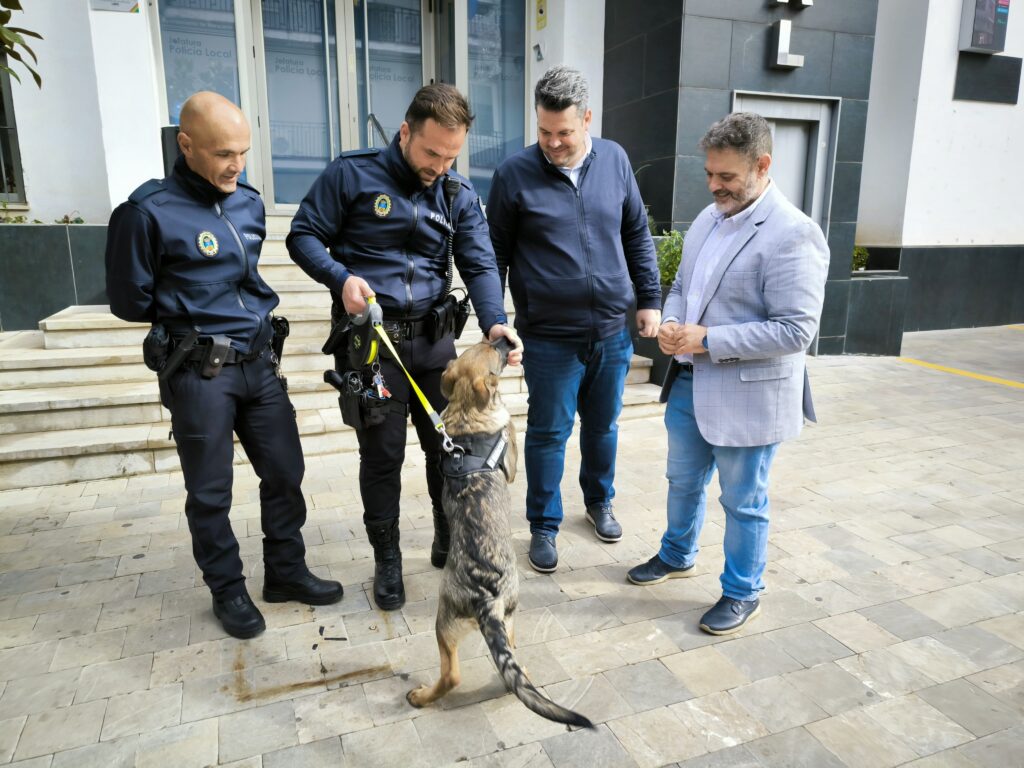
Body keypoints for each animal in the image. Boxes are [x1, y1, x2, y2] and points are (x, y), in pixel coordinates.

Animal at [405, 339, 593, 729]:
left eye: (484, 343)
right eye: (494, 352)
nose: (506, 338)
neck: (467, 410)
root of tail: (486, 596)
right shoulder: (511, 459)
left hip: (481, 619)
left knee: (498, 664)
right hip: (450, 622)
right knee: (456, 675)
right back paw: (422, 697)